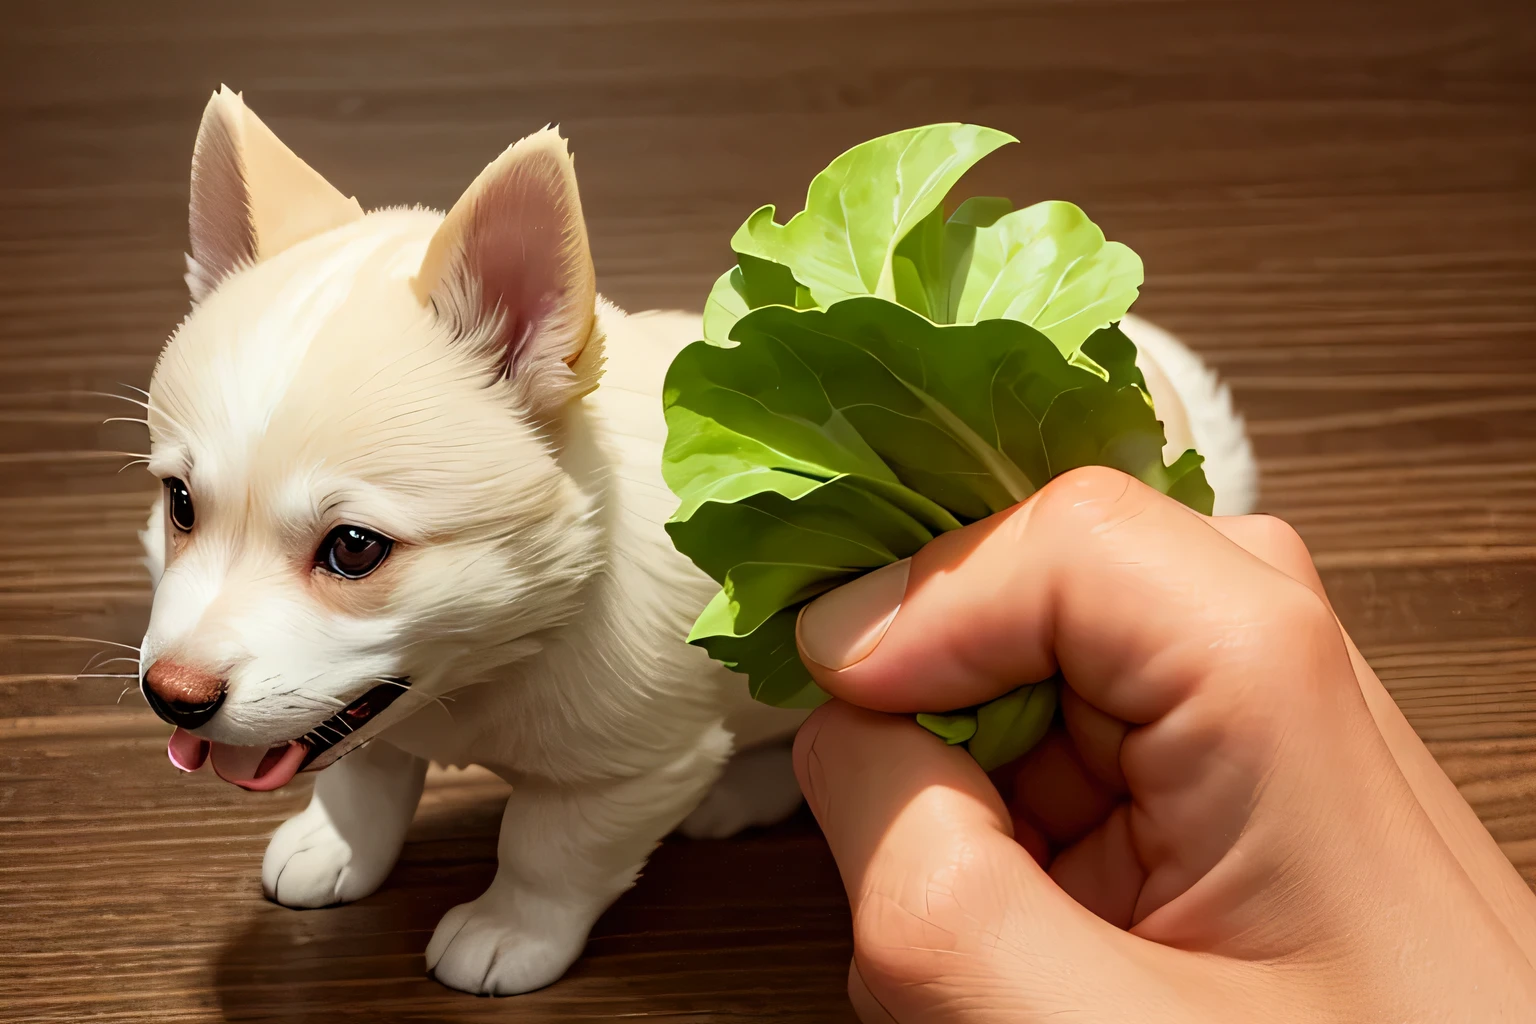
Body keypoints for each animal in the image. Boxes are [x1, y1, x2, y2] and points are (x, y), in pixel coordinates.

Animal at [135, 85, 1259, 994]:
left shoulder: (628, 777)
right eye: (179, 504)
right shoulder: (365, 706)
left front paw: (507, 932)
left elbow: (545, 850)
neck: (489, 669)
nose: (170, 697)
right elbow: (364, 779)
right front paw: (333, 847)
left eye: (355, 550)